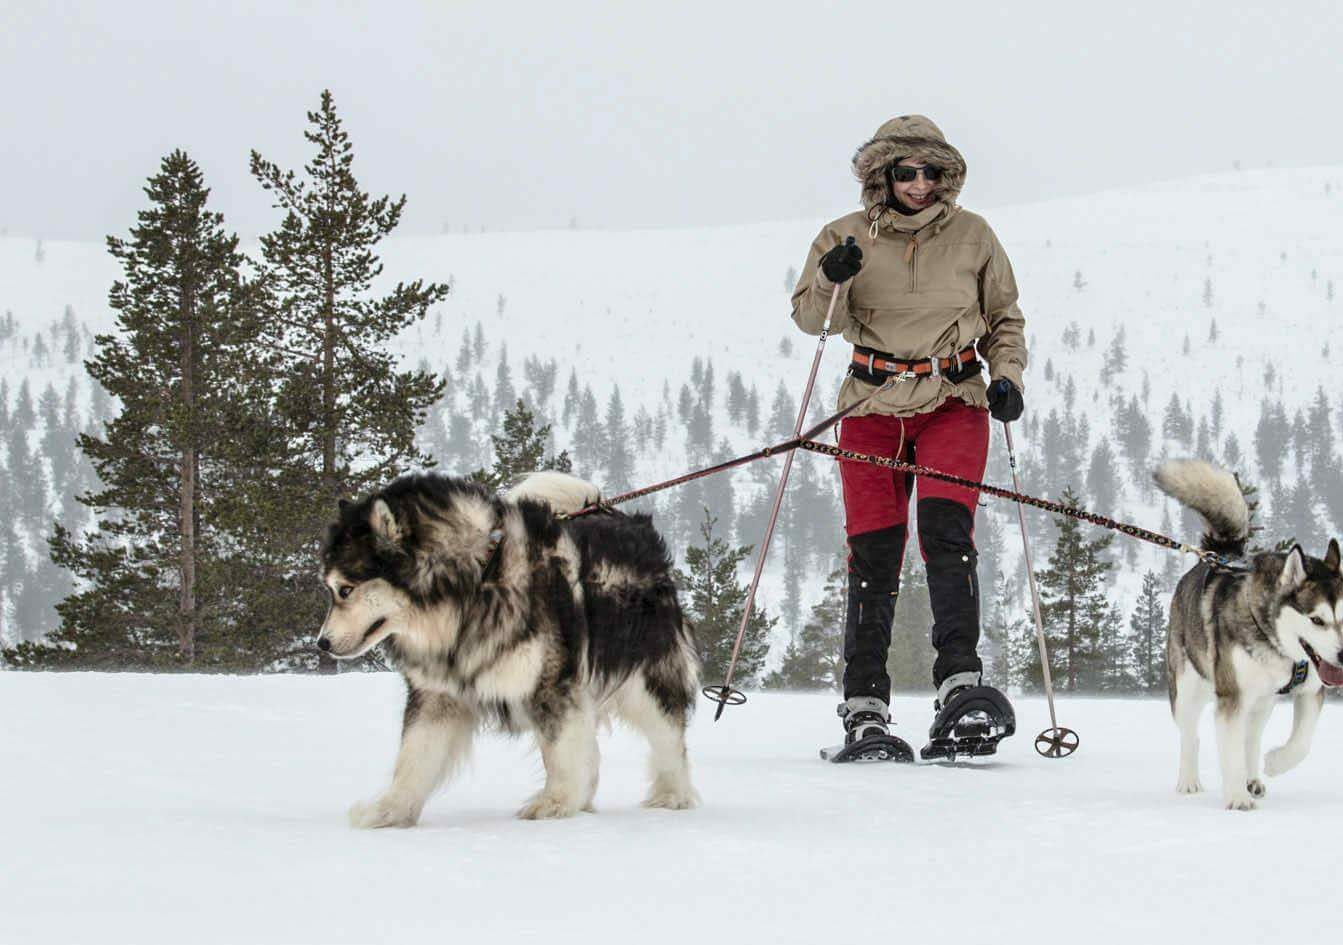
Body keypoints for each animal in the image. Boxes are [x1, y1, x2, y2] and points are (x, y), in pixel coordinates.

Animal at [318, 469, 703, 821]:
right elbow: (414, 758)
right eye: (330, 589)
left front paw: (555, 802)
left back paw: (673, 796)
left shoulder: (552, 684)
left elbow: (562, 753)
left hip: (649, 681)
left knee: (669, 740)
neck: (474, 581)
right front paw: (390, 811)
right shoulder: (437, 694)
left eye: (345, 589)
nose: (322, 643)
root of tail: (623, 518)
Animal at [1154, 459, 1343, 810]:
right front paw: (1237, 799)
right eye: (1317, 620)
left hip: (1262, 701)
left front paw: (1275, 763)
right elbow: (1228, 751)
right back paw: (1189, 781)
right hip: (1188, 687)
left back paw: (1252, 776)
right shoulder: (1232, 696)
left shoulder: (1311, 690)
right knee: (1191, 735)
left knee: (1250, 737)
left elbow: (1302, 743)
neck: (1279, 646)